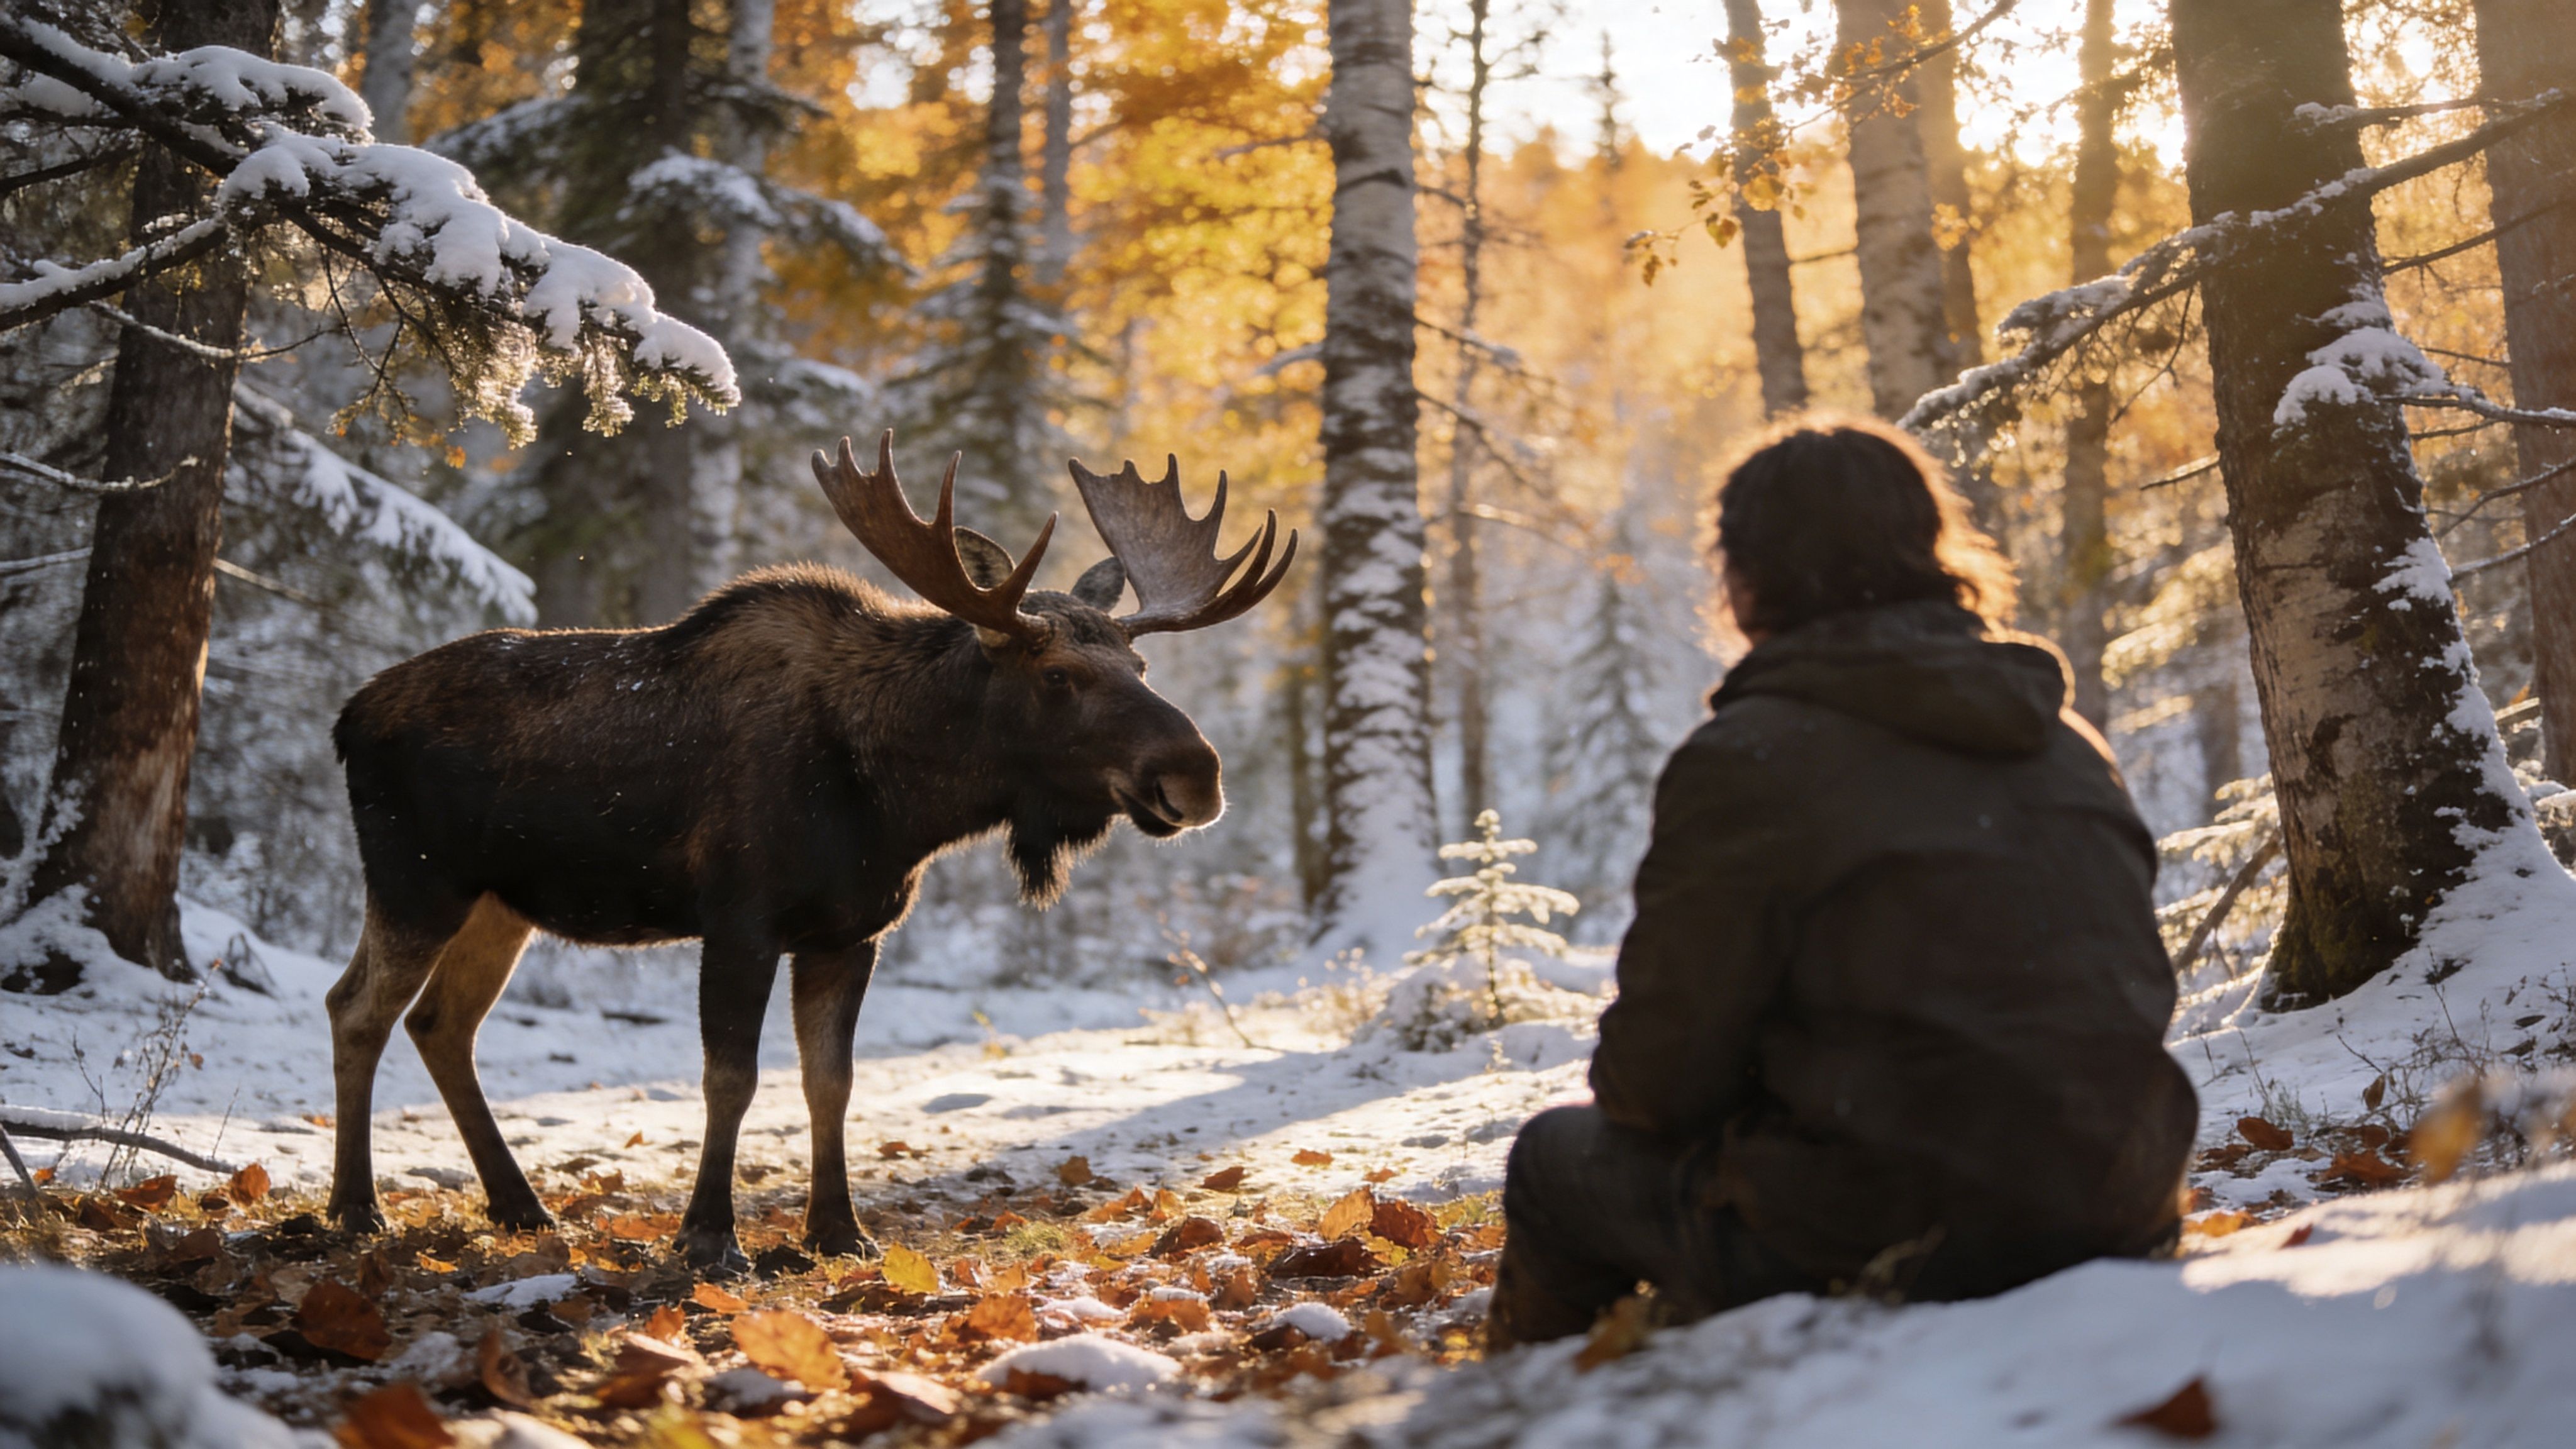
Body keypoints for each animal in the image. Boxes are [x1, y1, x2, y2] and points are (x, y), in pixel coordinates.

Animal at [322, 432, 1294, 1270]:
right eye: (1059, 676)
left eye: (1142, 670)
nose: (1196, 776)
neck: (897, 801)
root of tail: (345, 717)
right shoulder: (739, 920)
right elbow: (732, 1079)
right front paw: (709, 1237)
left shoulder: (849, 932)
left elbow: (833, 1082)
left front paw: (838, 1231)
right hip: (415, 882)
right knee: (359, 1011)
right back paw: (356, 1208)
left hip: (498, 902)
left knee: (438, 1023)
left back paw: (519, 1206)